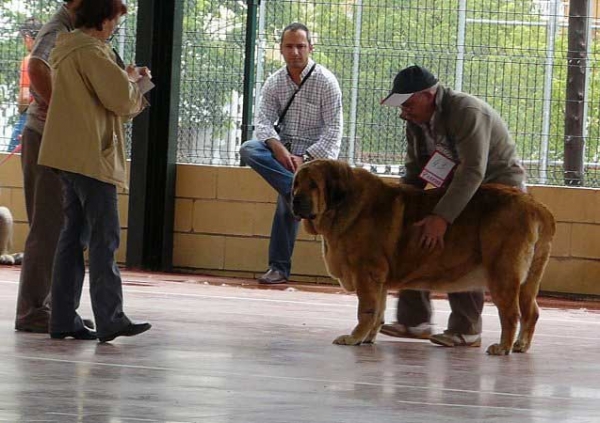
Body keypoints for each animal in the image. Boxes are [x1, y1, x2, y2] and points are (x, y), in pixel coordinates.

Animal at [292, 161, 556, 356]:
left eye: (313, 185)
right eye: (296, 183)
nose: (294, 199)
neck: (342, 206)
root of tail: (536, 206)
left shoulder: (367, 275)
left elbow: (366, 311)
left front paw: (354, 337)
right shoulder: (380, 280)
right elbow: (378, 311)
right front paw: (368, 338)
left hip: (503, 274)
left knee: (511, 314)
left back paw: (503, 347)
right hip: (528, 280)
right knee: (532, 311)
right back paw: (521, 345)